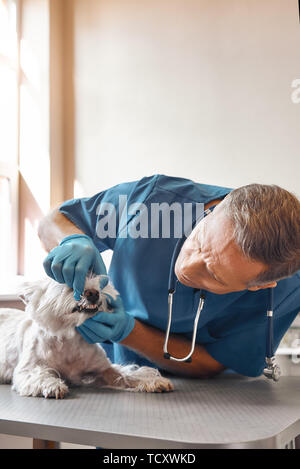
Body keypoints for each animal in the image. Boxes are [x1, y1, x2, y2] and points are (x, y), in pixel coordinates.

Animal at [0, 274, 173, 398]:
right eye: (68, 282)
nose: (93, 292)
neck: (69, 339)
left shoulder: (103, 368)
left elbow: (124, 374)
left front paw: (153, 381)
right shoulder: (27, 369)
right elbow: (38, 374)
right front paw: (53, 385)